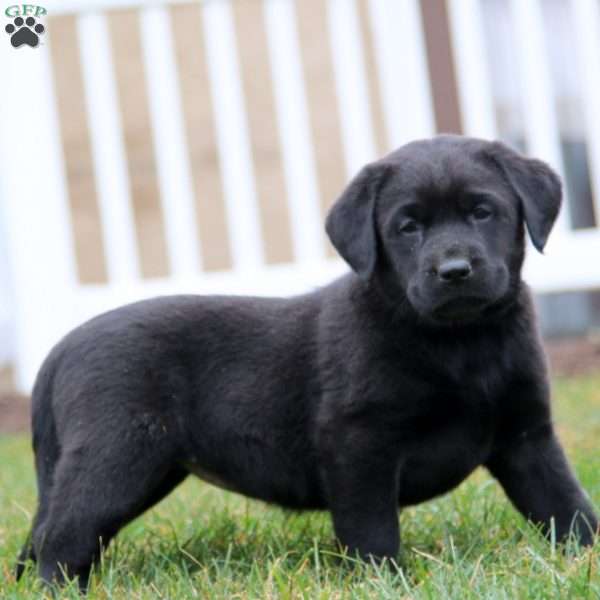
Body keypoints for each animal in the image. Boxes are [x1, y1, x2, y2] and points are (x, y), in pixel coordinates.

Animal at [16, 135, 596, 584]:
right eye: (408, 227)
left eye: (482, 211)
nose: (454, 271)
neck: (460, 343)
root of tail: (60, 349)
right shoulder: (358, 444)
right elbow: (371, 530)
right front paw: (384, 582)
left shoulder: (526, 437)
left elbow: (565, 506)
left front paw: (585, 560)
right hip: (119, 455)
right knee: (63, 537)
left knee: (47, 534)